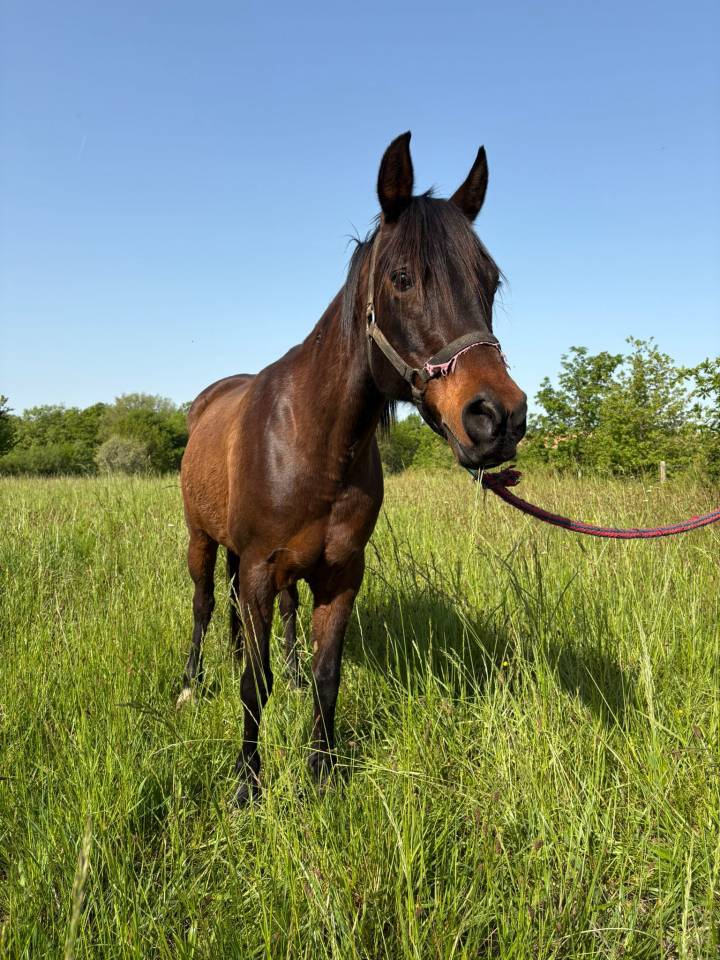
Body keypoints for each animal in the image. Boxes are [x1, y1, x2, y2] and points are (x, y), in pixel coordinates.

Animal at [179, 132, 527, 805]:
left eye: (490, 282)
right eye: (401, 278)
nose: (498, 418)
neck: (314, 441)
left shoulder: (341, 573)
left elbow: (325, 674)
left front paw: (321, 773)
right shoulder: (257, 567)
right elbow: (253, 683)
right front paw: (248, 784)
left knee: (276, 617)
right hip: (202, 539)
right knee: (207, 605)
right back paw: (189, 682)